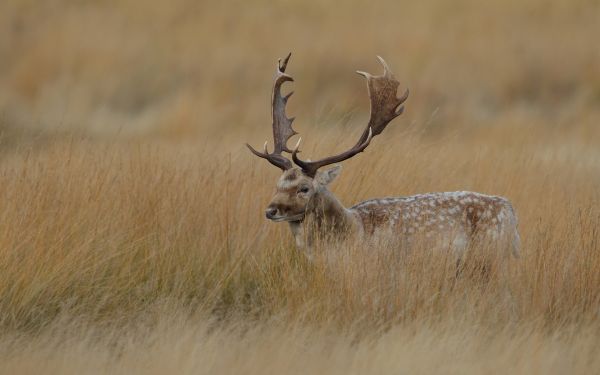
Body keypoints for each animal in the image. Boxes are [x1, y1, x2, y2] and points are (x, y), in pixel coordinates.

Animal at [246, 53, 516, 268]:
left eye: (304, 188)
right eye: (277, 184)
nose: (270, 210)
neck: (353, 233)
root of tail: (511, 211)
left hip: (492, 257)